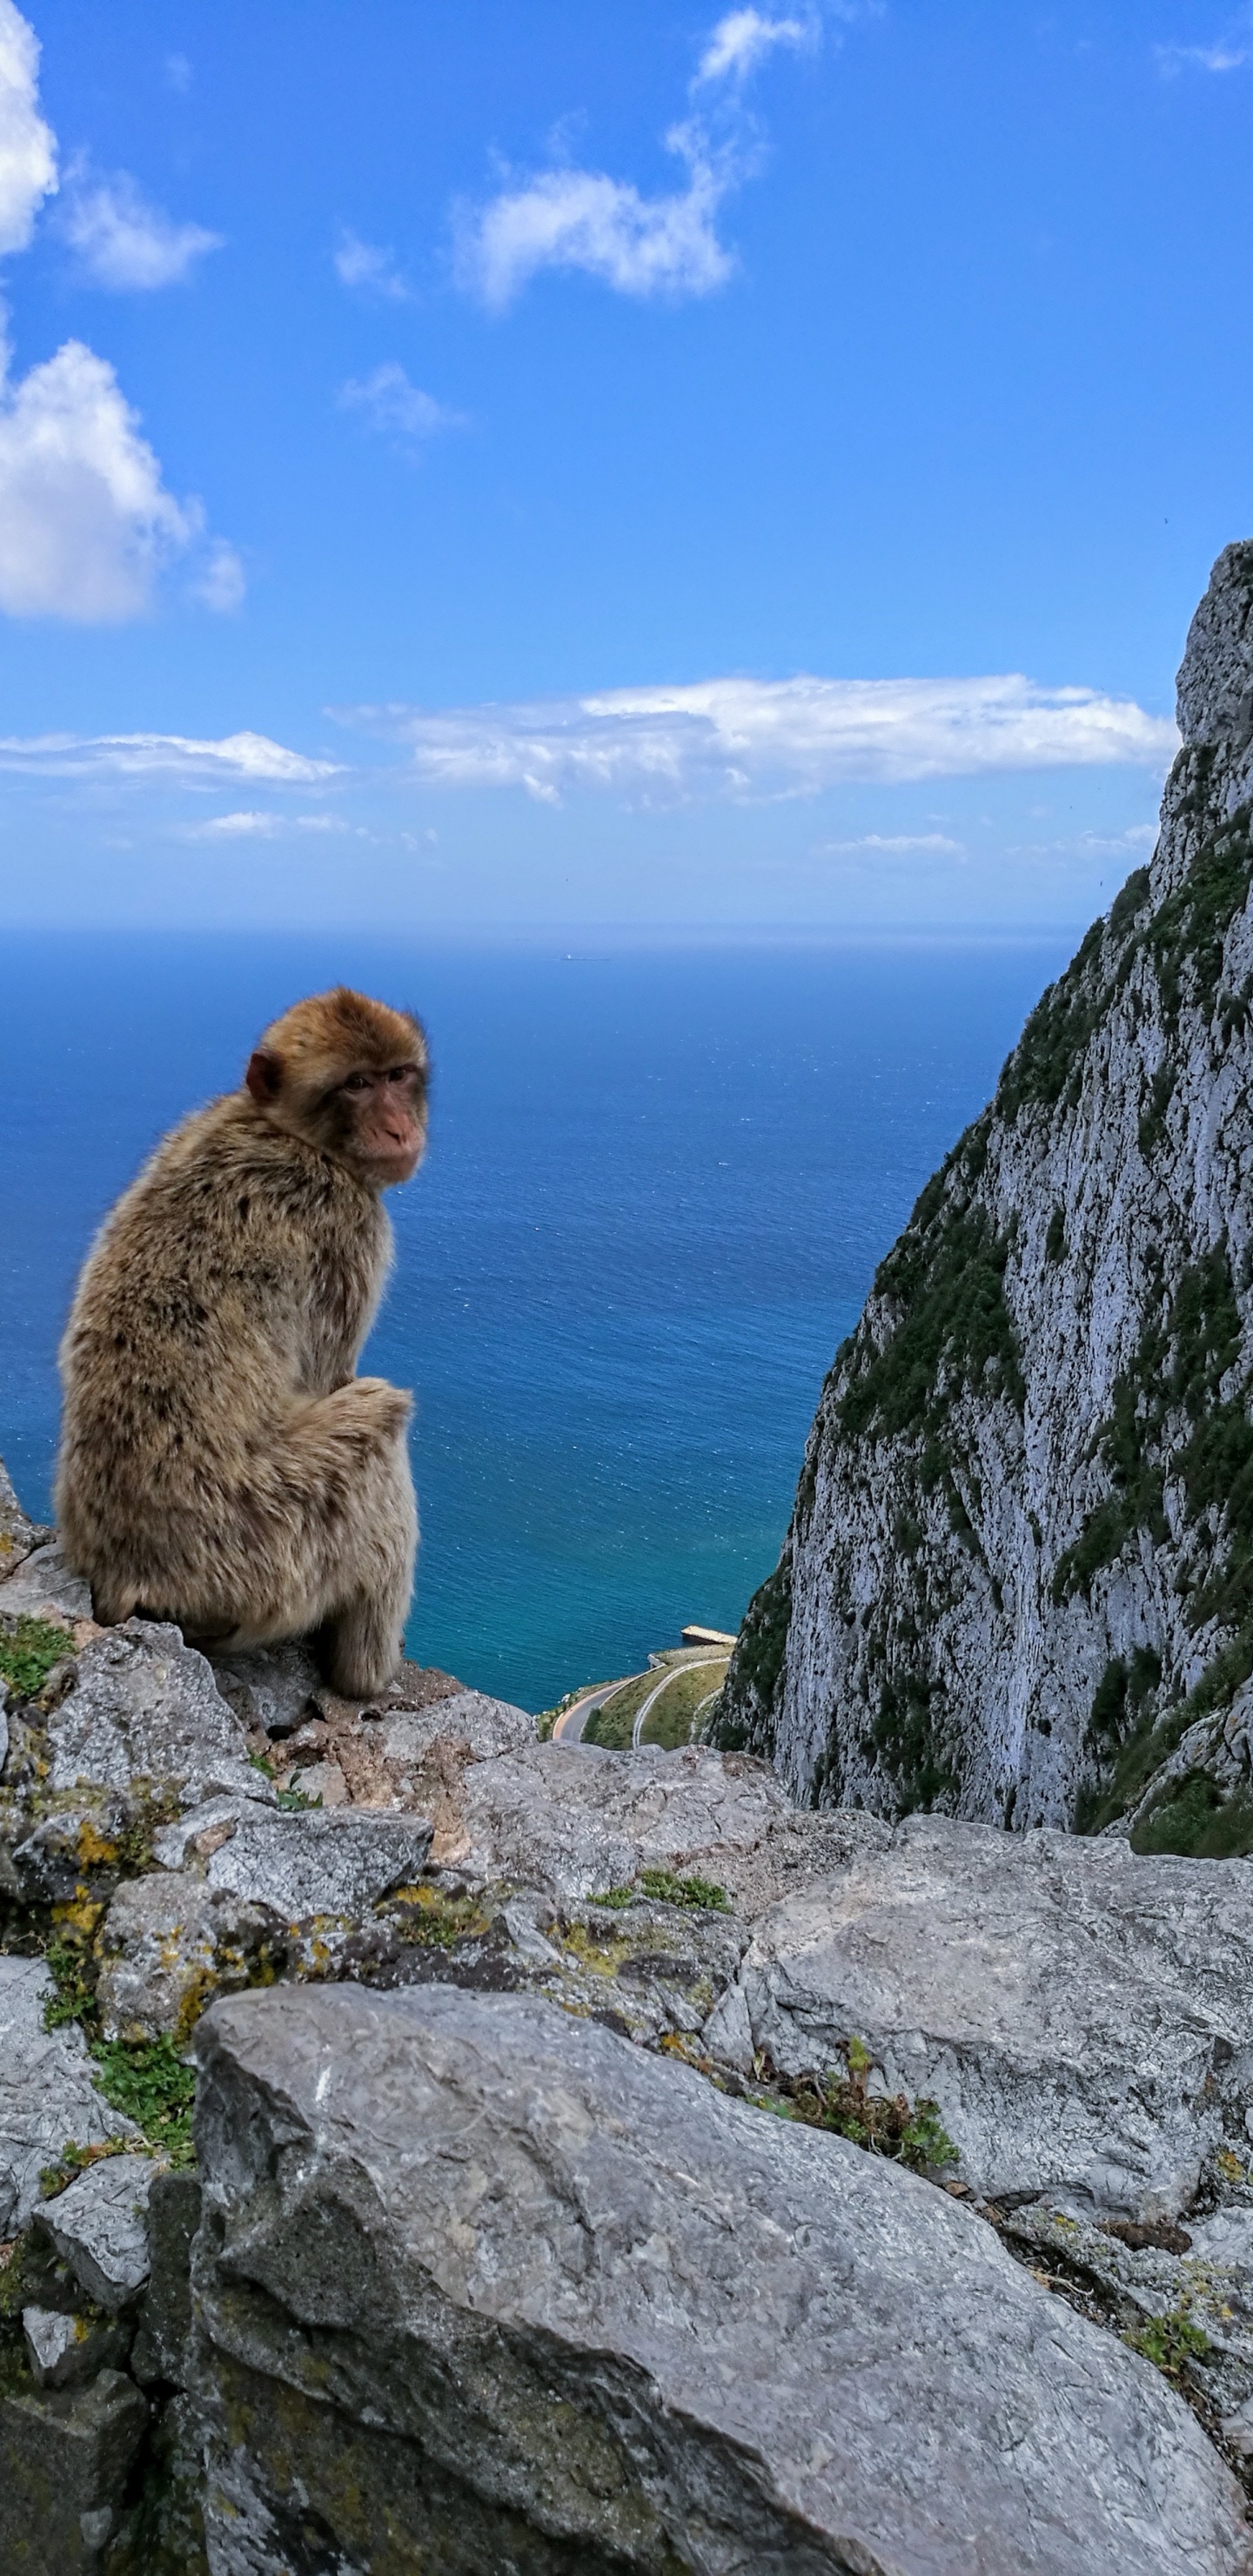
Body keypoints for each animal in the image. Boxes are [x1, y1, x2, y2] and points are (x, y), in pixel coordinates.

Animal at [55, 986, 428, 1698]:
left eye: (398, 1076)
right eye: (357, 1085)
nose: (400, 1129)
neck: (283, 1129)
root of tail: (126, 1578)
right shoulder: (348, 1225)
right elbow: (333, 1378)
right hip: (268, 1544)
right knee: (378, 1423)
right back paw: (364, 1676)